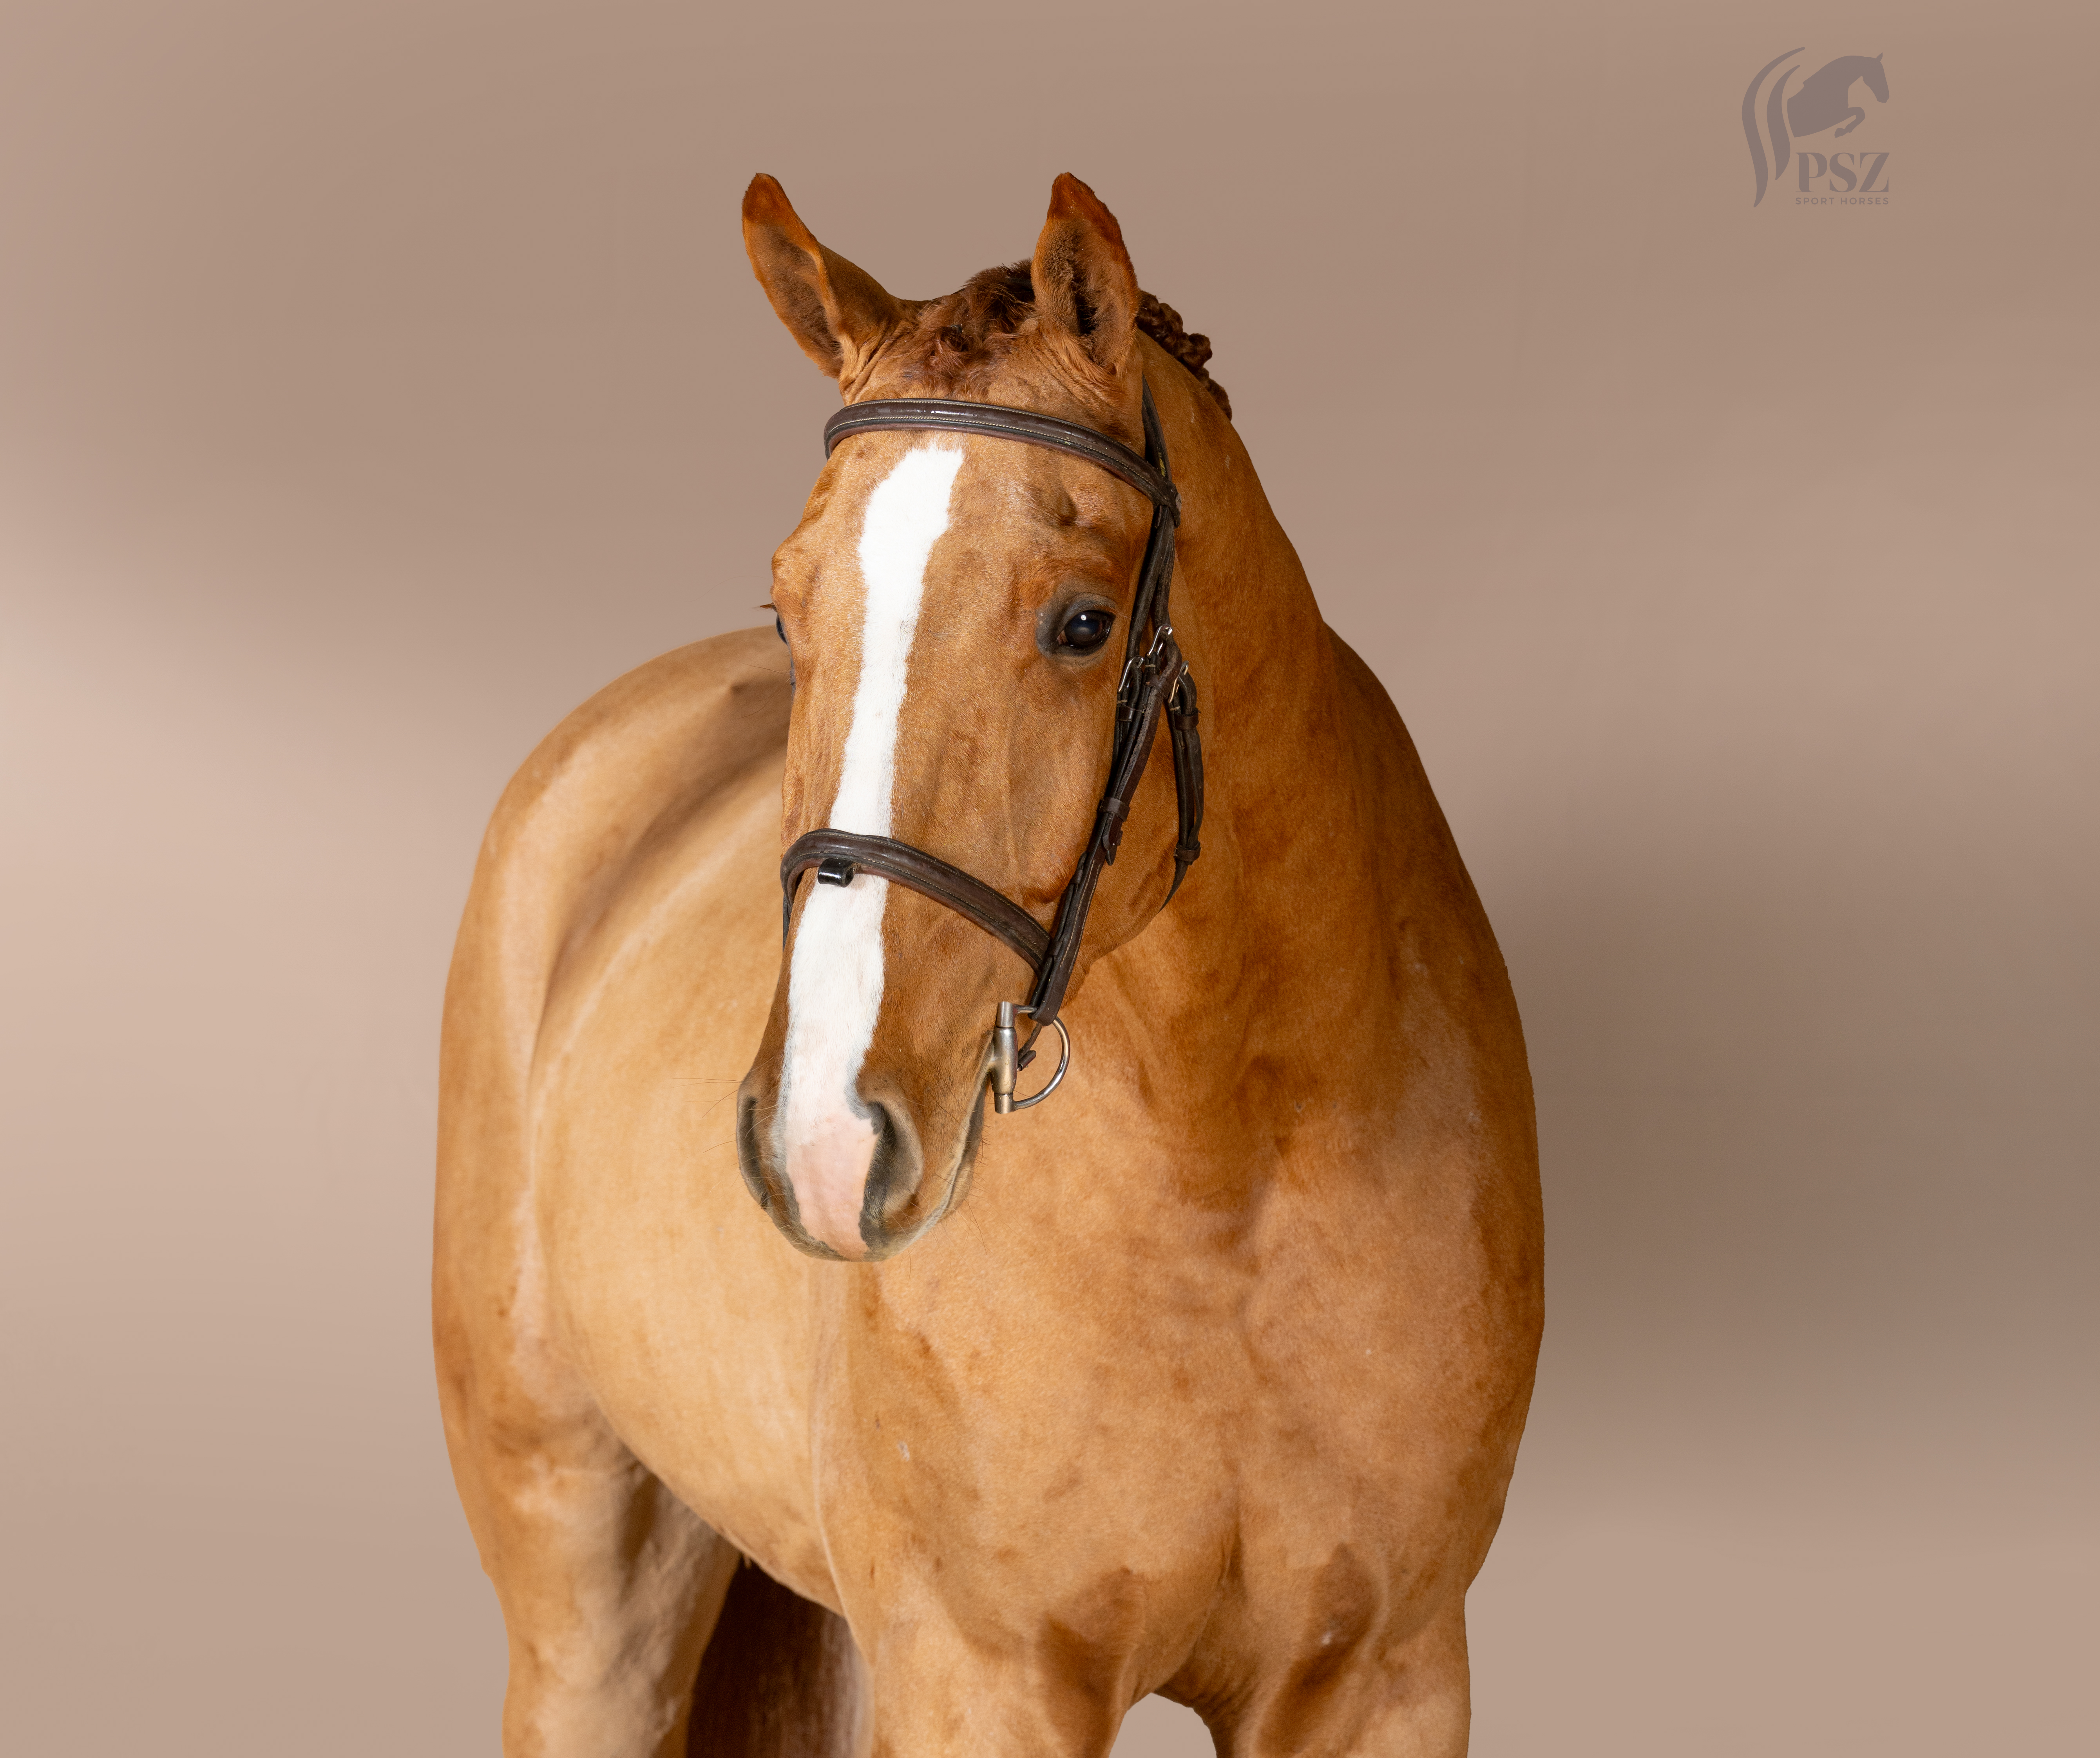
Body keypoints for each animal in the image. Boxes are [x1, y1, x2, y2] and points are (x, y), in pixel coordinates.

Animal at [434, 171, 1544, 1757]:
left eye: (1082, 620)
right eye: (789, 607)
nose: (824, 1137)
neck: (1231, 1169)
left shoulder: (1381, 1679)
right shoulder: (983, 1677)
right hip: (588, 1580)